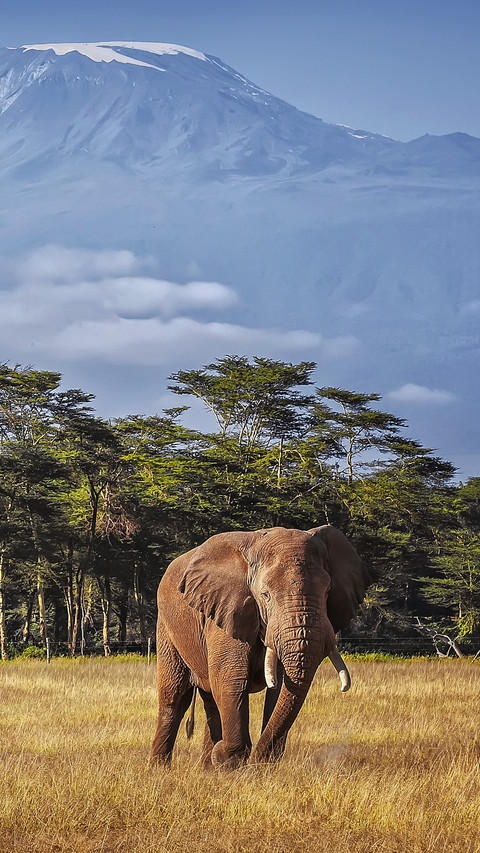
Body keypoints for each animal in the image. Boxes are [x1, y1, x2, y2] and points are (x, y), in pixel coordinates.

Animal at [150, 524, 369, 769]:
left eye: (328, 591)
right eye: (266, 595)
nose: (258, 760)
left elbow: (281, 687)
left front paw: (246, 763)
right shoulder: (227, 609)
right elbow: (232, 679)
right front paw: (229, 760)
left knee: (211, 700)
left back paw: (206, 768)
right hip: (166, 627)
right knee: (175, 698)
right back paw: (161, 770)